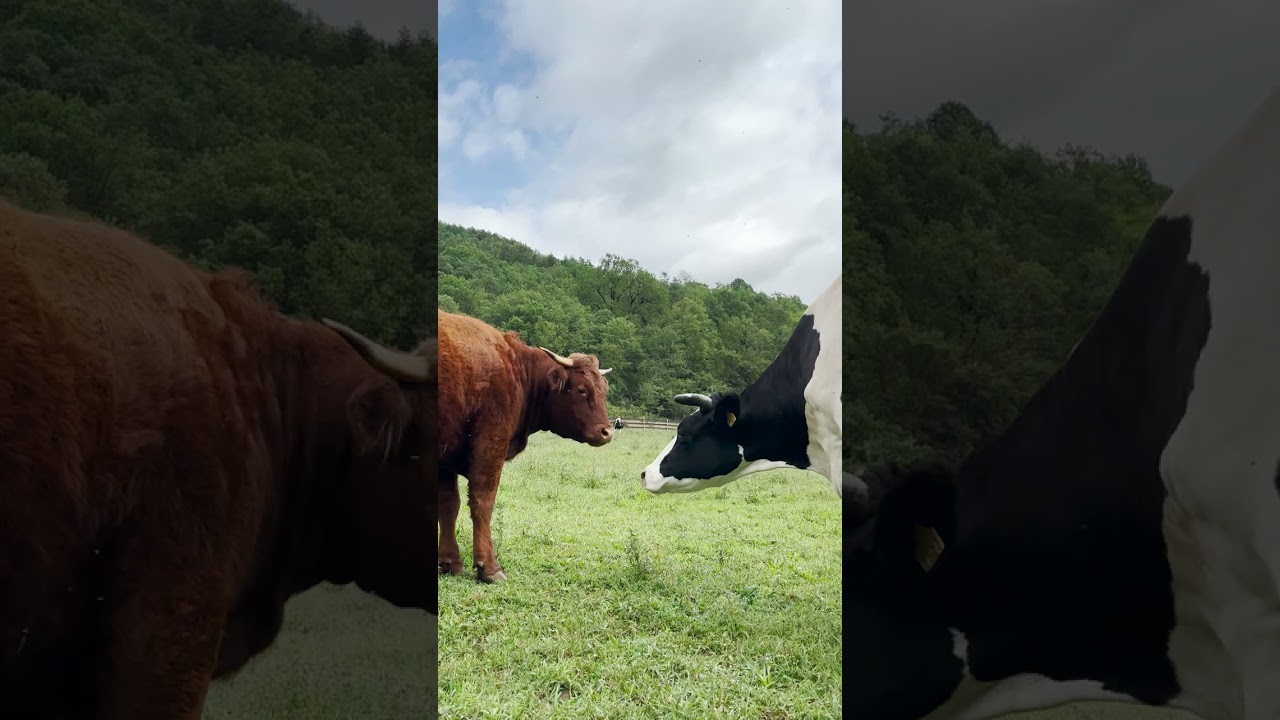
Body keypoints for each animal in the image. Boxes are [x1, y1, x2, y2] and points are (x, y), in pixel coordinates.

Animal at [437, 309, 614, 583]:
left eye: (603, 389)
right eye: (582, 390)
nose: (607, 431)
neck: (518, 372)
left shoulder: (446, 455)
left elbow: (448, 505)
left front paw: (450, 562)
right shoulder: (490, 444)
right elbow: (483, 501)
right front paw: (489, 567)